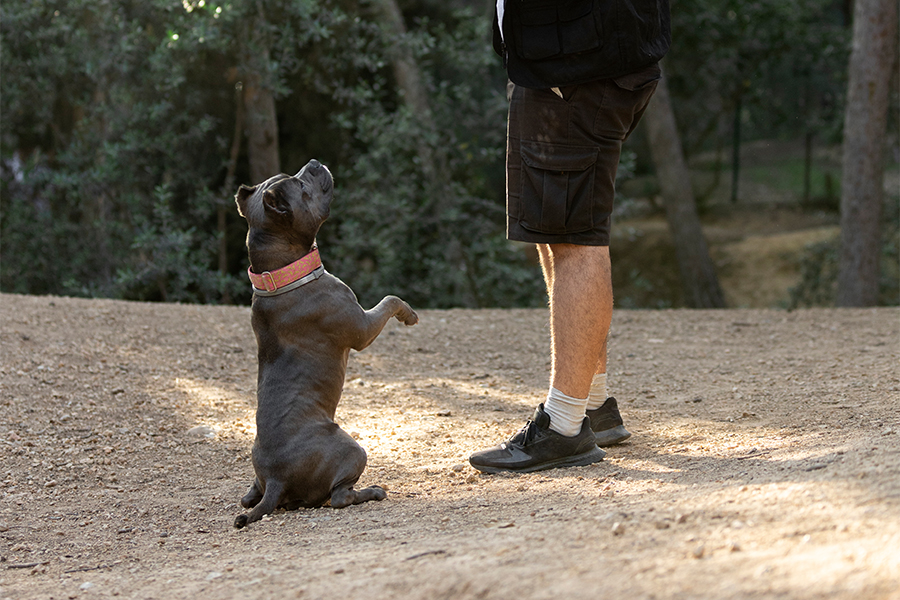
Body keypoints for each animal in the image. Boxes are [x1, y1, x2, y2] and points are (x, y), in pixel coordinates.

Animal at [230, 157, 416, 528]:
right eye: (301, 186)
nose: (313, 162)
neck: (282, 273)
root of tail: (276, 478)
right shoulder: (362, 327)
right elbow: (389, 300)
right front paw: (408, 313)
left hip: (260, 480)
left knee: (249, 498)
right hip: (353, 450)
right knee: (340, 497)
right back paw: (373, 491)